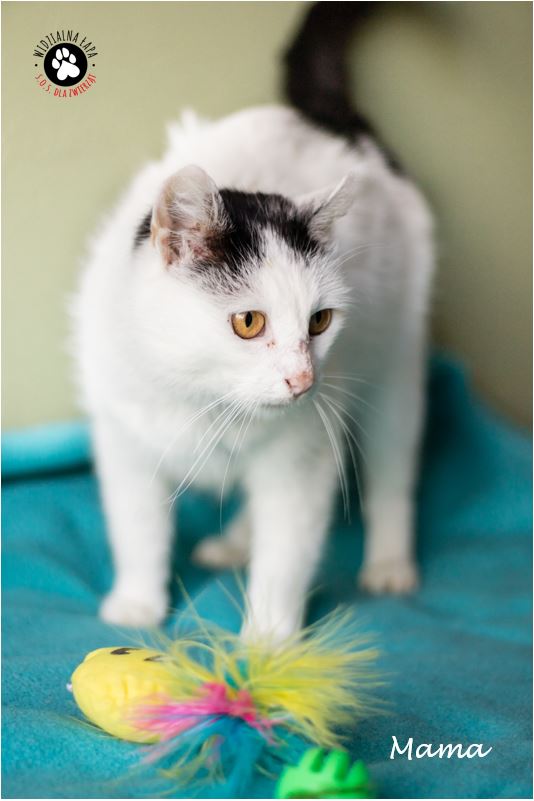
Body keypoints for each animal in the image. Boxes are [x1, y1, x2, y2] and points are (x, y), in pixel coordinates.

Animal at [72, 2, 434, 642]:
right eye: (247, 322)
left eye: (320, 321)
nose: (303, 379)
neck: (202, 401)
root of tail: (322, 116)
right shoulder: (123, 442)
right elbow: (137, 527)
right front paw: (137, 602)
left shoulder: (301, 460)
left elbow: (286, 552)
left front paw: (269, 641)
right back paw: (234, 542)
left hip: (397, 369)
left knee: (393, 472)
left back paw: (389, 562)